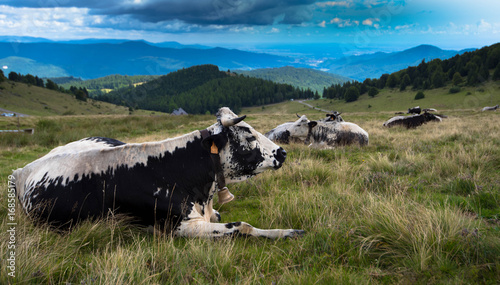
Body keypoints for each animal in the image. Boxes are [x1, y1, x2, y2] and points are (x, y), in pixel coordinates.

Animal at [9, 107, 302, 239]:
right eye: (249, 134)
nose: (282, 152)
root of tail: (22, 170)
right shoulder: (181, 227)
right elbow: (242, 225)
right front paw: (283, 232)